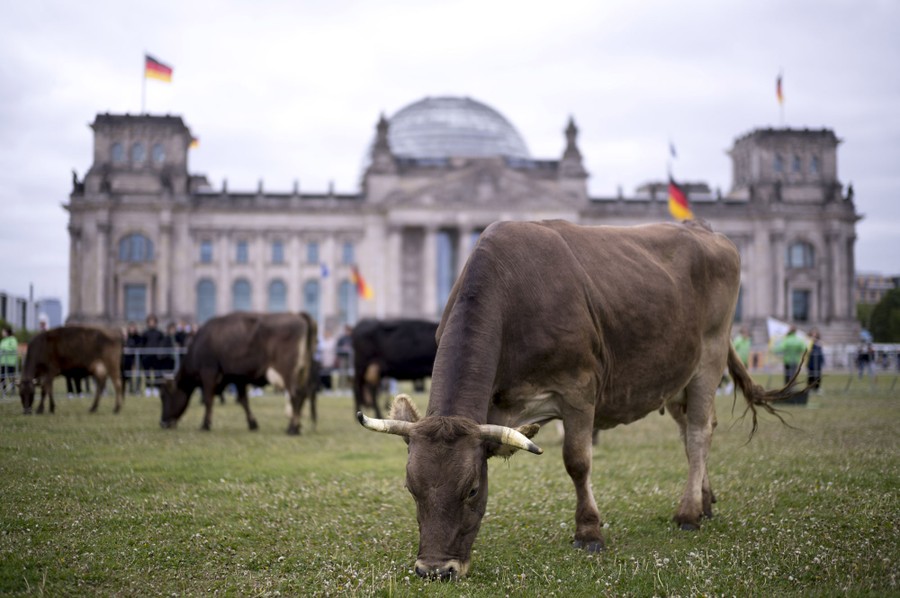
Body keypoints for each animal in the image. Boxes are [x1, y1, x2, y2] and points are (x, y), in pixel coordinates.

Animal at [159, 311, 317, 435]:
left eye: (164, 396)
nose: (162, 423)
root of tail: (298, 315)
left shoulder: (209, 372)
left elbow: (208, 399)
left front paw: (205, 425)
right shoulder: (238, 377)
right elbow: (243, 400)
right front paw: (252, 424)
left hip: (287, 371)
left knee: (295, 395)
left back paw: (292, 429)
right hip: (303, 372)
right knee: (303, 395)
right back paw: (296, 426)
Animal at [359, 219, 803, 579]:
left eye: (471, 490)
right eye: (411, 487)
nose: (435, 570)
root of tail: (706, 229)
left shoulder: (579, 389)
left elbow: (577, 461)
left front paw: (589, 531)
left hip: (709, 358)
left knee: (697, 434)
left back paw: (689, 513)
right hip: (677, 374)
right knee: (698, 428)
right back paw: (706, 501)